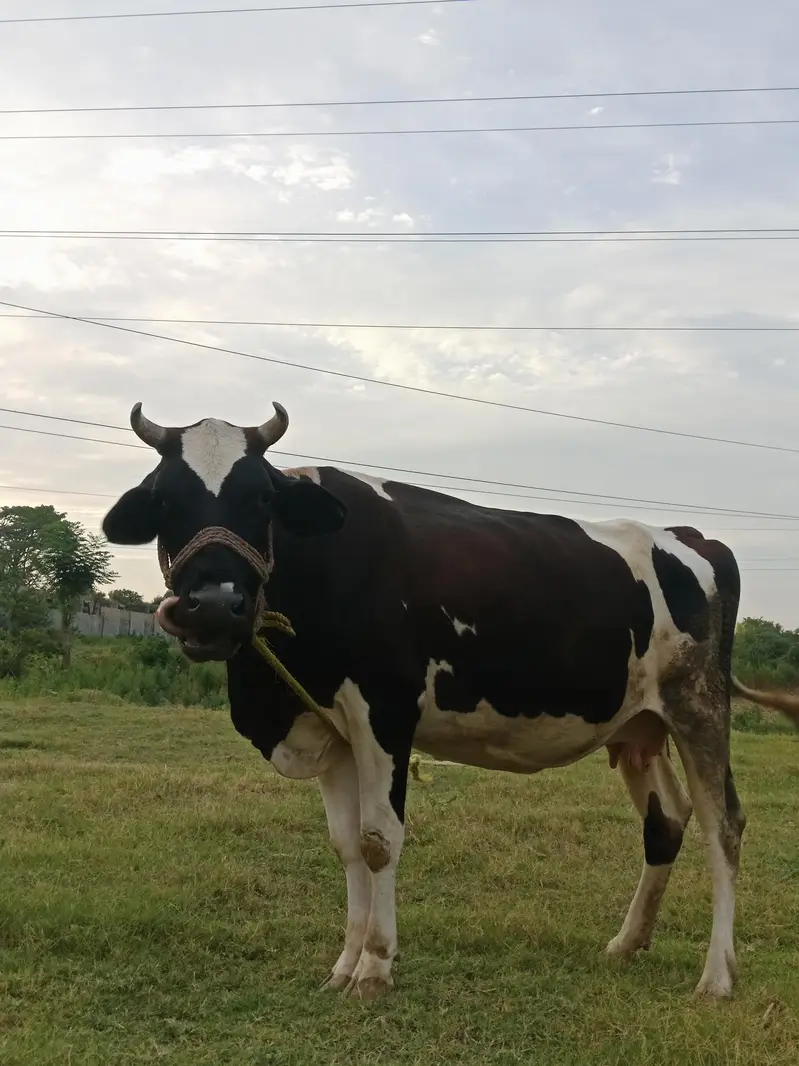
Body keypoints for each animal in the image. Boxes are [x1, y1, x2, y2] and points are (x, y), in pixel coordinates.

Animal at [101, 401, 799, 1002]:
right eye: (163, 500)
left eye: (264, 498)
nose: (213, 607)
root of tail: (693, 537)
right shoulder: (330, 727)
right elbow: (347, 844)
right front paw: (344, 965)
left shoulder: (385, 709)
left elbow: (380, 839)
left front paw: (375, 968)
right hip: (639, 726)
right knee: (667, 820)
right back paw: (628, 943)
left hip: (699, 705)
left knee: (722, 826)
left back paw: (717, 977)